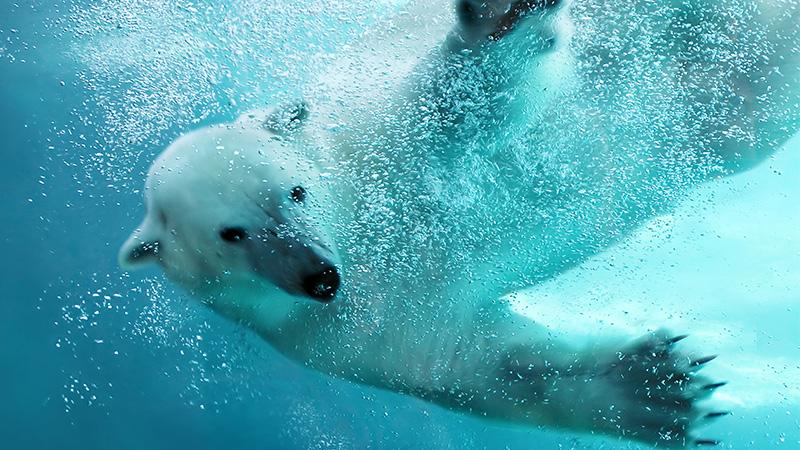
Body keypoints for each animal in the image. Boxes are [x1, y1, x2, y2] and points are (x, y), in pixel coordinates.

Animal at [119, 0, 799, 447]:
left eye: (295, 191)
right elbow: (482, 365)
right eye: (231, 235)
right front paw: (658, 389)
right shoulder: (343, 333)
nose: (320, 276)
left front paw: (496, 15)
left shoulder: (384, 140)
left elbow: (470, 95)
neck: (360, 225)